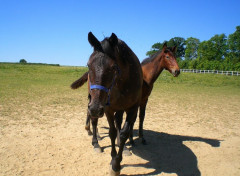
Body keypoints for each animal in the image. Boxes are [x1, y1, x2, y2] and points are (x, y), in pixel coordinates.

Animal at [78, 32, 142, 175]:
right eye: (88, 65)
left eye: (113, 67)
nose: (95, 109)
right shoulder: (107, 108)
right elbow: (111, 132)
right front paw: (113, 160)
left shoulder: (132, 108)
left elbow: (123, 133)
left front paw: (117, 164)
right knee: (94, 121)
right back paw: (96, 143)